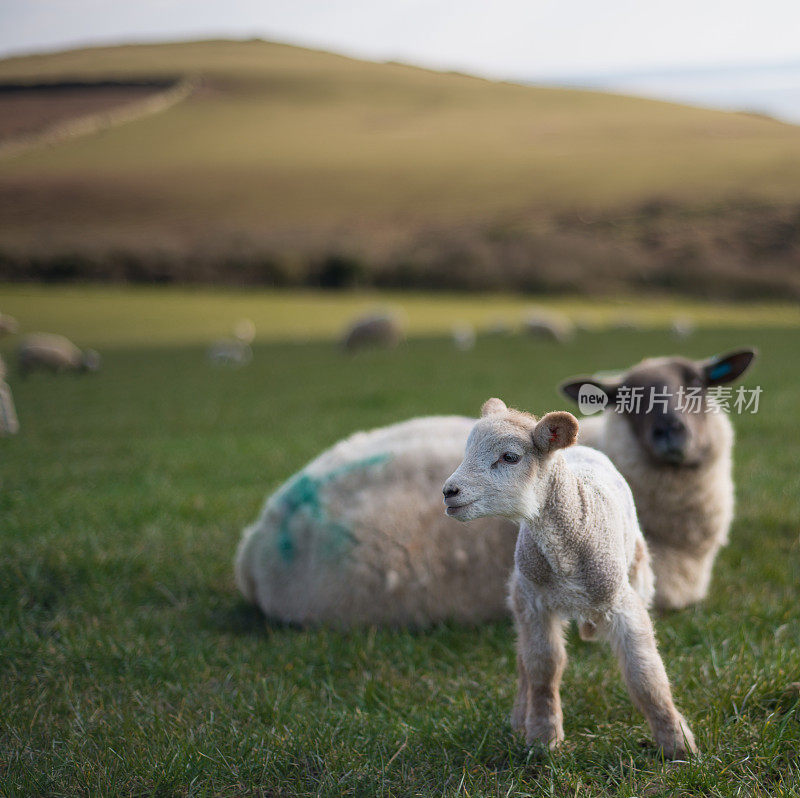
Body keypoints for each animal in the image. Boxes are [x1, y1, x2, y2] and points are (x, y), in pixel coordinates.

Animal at [444, 400, 692, 764]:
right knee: (524, 660)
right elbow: (544, 667)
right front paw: (542, 737)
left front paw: (677, 743)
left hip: (638, 573)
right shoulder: (534, 602)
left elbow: (645, 674)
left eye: (510, 457)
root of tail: (582, 449)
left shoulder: (622, 602)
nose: (449, 492)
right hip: (520, 592)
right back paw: (520, 718)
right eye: (467, 450)